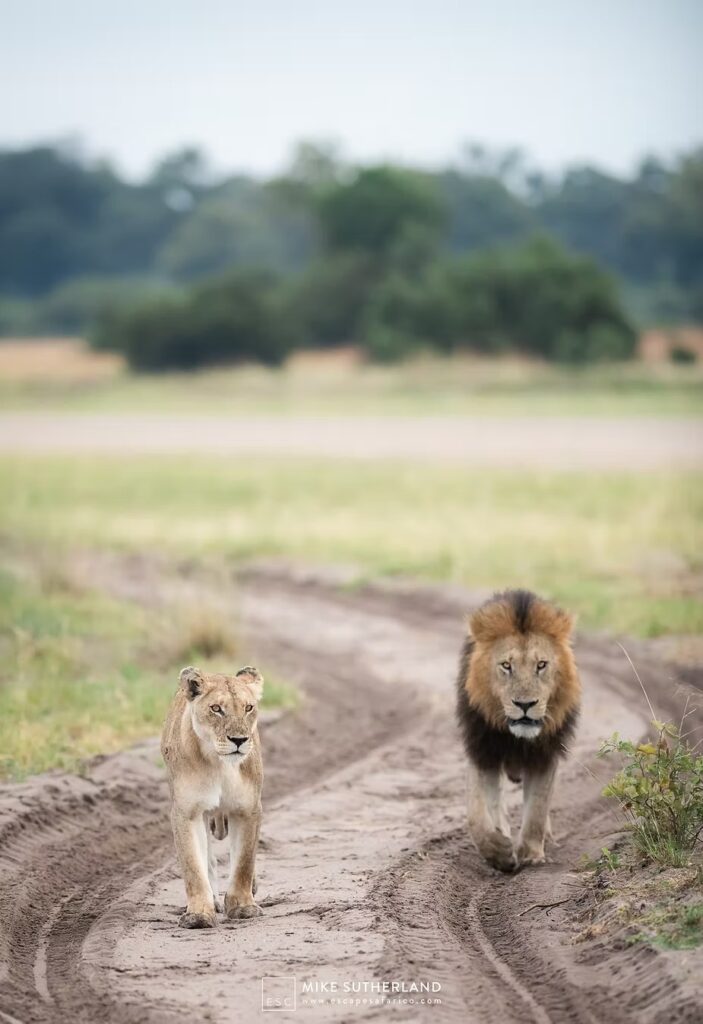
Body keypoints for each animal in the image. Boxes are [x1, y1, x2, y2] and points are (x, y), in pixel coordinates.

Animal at [160, 665, 264, 928]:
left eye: (249, 708)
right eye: (216, 709)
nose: (239, 740)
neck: (220, 764)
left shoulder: (248, 808)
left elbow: (244, 861)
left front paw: (243, 907)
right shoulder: (187, 812)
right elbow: (194, 868)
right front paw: (199, 914)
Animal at [456, 589, 580, 872]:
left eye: (541, 665)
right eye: (506, 665)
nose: (525, 705)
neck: (517, 738)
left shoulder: (545, 756)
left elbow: (537, 810)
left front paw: (531, 855)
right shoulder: (483, 751)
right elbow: (476, 813)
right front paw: (498, 852)